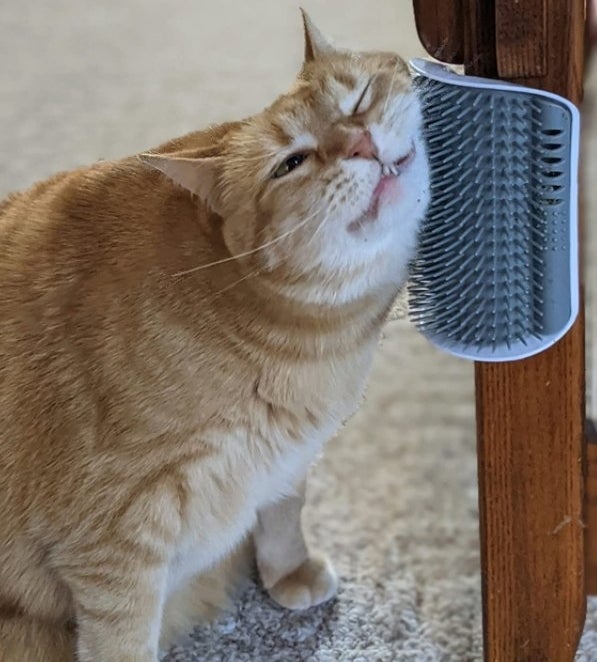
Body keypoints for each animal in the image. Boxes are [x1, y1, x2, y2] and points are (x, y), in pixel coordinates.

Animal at [0, 10, 428, 662]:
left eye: (356, 99)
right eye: (291, 164)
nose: (360, 144)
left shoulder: (288, 455)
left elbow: (283, 511)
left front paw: (288, 571)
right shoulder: (111, 543)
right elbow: (123, 638)